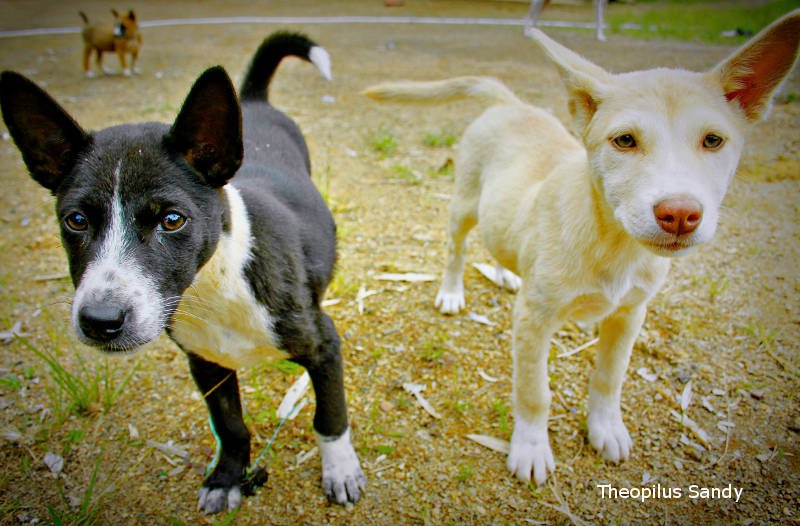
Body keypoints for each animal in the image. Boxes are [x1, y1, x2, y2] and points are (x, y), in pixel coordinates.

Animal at [1, 32, 364, 516]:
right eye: (75, 220)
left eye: (172, 220)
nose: (100, 322)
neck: (215, 285)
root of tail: (250, 99)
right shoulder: (206, 363)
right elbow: (230, 425)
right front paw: (227, 478)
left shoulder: (323, 344)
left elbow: (330, 416)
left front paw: (340, 471)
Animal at [368, 9, 800, 486]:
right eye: (625, 140)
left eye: (713, 140)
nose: (679, 214)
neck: (613, 243)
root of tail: (510, 103)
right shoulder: (533, 320)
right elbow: (534, 392)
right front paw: (531, 448)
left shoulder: (630, 315)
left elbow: (609, 379)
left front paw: (605, 429)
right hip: (464, 203)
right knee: (455, 248)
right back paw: (450, 291)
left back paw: (506, 272)